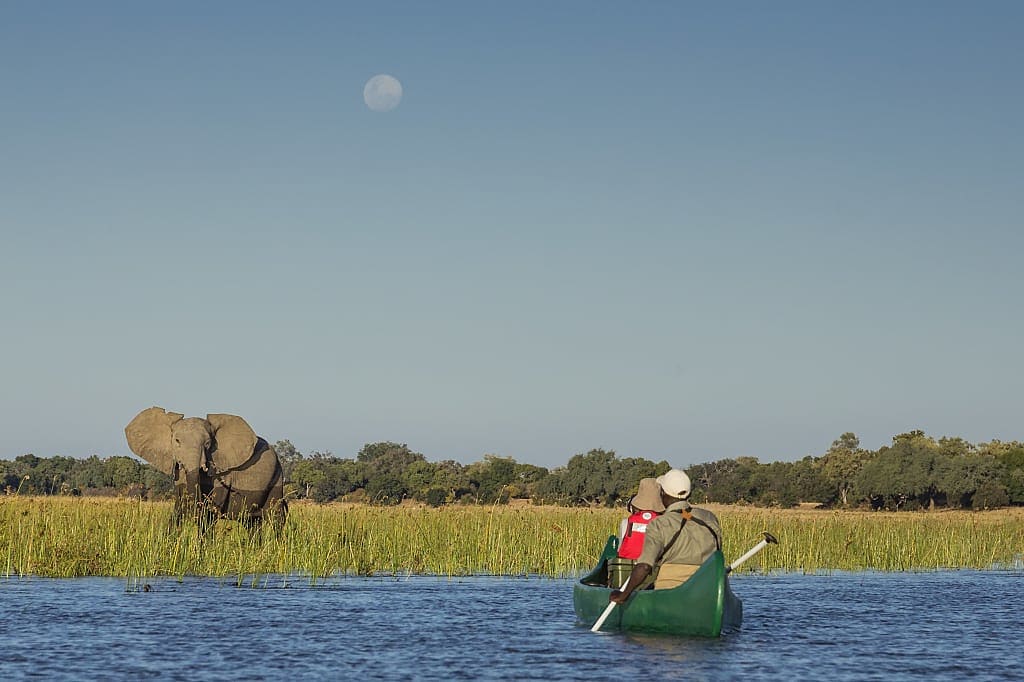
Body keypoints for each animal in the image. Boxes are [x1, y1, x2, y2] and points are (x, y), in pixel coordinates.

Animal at [125, 406, 287, 532]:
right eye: (177, 441)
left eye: (208, 443)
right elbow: (178, 509)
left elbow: (207, 519)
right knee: (252, 523)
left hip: (277, 477)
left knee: (275, 519)